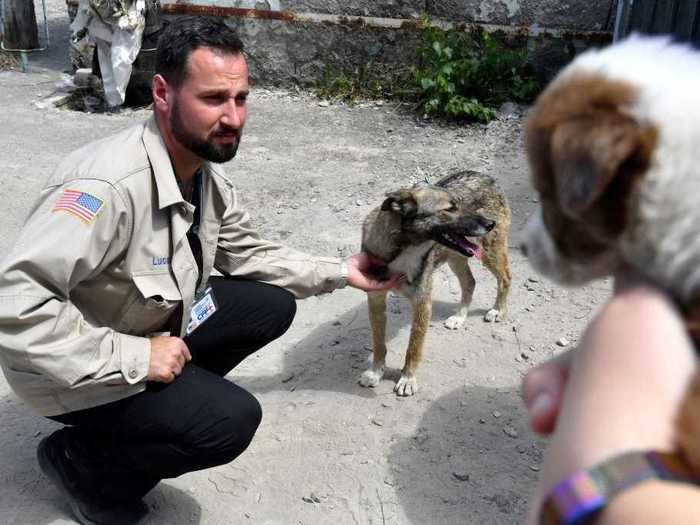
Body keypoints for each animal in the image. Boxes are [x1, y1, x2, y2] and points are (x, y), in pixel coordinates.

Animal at [358, 170, 512, 396]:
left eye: (460, 204)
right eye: (449, 209)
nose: (489, 223)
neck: (404, 248)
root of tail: (484, 176)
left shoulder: (422, 302)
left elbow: (414, 347)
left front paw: (407, 378)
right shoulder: (376, 299)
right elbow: (378, 342)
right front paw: (376, 372)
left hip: (490, 251)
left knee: (505, 278)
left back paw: (498, 310)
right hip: (456, 256)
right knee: (470, 282)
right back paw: (459, 317)